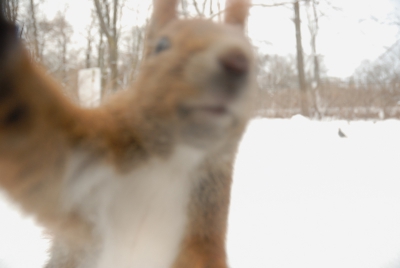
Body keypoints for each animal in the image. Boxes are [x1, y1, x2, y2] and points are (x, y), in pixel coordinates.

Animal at [0, 0, 256, 266]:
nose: (236, 60)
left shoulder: (204, 224)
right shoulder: (90, 163)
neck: (175, 160)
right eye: (161, 45)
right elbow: (42, 150)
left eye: (252, 53)